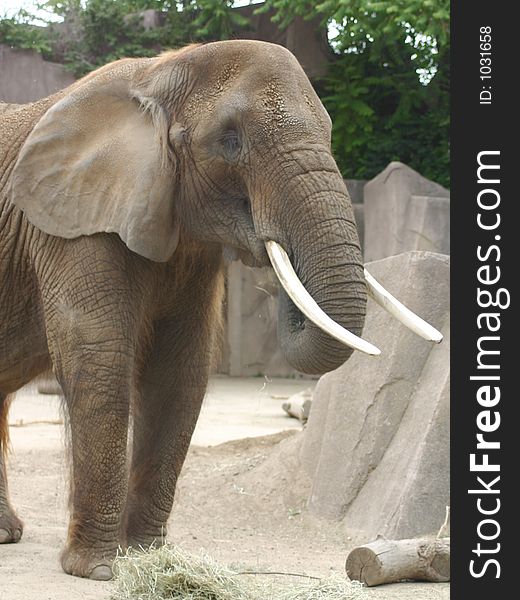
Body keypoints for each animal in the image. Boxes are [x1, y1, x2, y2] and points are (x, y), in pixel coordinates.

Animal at [0, 39, 440, 580]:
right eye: (230, 141)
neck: (161, 70)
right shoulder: (72, 218)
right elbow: (98, 357)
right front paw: (97, 570)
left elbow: (179, 368)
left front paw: (147, 556)